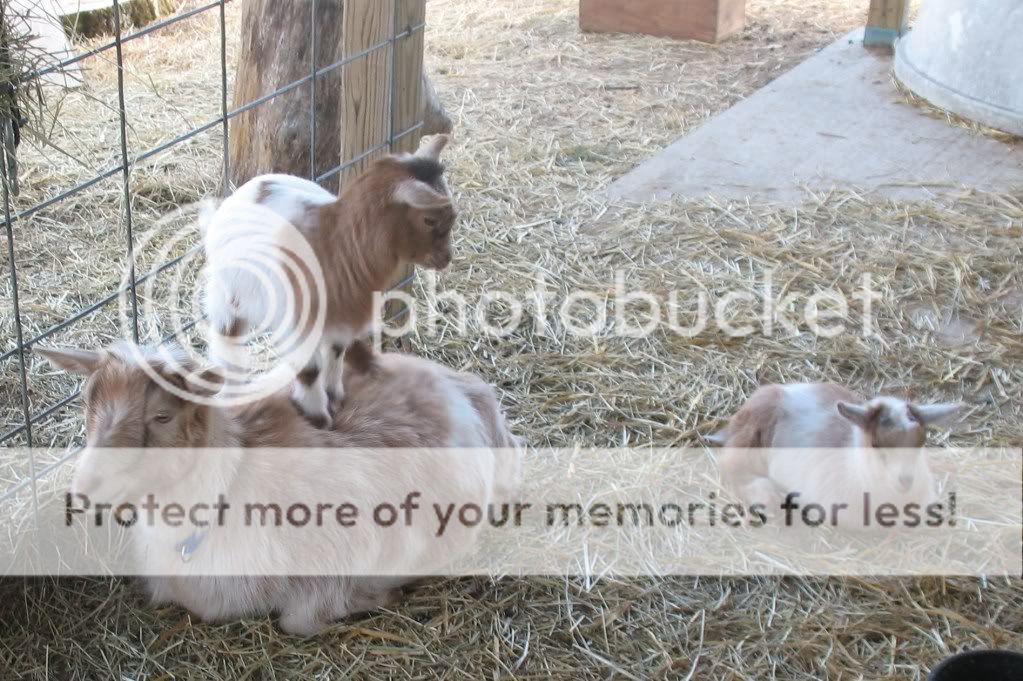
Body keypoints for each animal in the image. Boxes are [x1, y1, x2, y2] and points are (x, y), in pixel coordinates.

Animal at [38, 341, 520, 636]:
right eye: (87, 404)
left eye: (162, 415)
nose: (84, 488)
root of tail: (463, 383)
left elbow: (299, 620)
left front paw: (384, 595)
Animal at [202, 134, 456, 427]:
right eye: (430, 219)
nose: (447, 258)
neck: (339, 245)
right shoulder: (299, 323)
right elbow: (310, 369)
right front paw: (318, 417)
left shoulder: (342, 318)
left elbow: (336, 351)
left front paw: (334, 397)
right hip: (228, 292)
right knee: (227, 338)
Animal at [709, 383, 963, 525]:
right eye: (875, 444)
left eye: (921, 442)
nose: (905, 480)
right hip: (752, 438)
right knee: (730, 464)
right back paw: (767, 496)